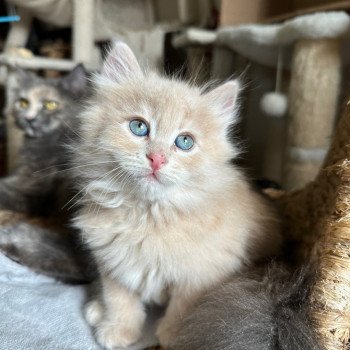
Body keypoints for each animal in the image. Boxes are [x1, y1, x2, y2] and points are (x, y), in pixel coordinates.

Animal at [74, 41, 282, 348]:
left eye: (185, 142)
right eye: (139, 127)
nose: (157, 159)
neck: (147, 216)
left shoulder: (205, 272)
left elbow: (184, 306)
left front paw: (176, 336)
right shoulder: (112, 260)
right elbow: (120, 298)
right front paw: (119, 329)